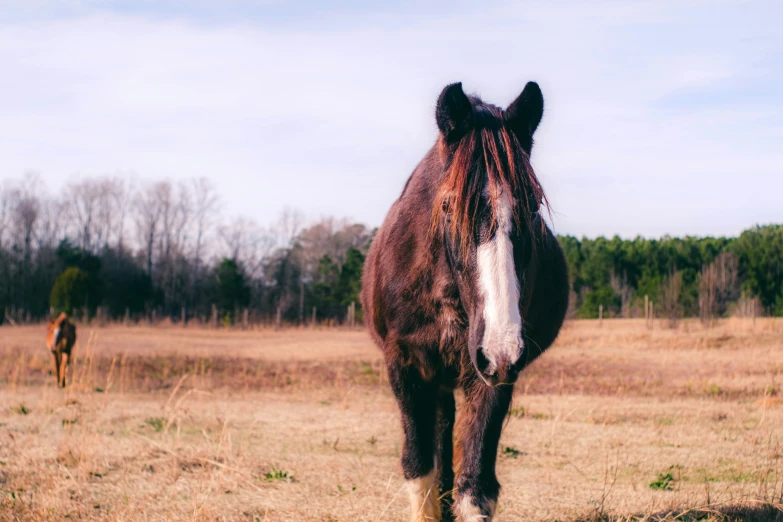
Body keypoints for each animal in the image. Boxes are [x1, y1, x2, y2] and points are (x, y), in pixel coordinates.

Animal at [362, 81, 568, 520]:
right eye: (447, 205)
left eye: (533, 208)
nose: (500, 347)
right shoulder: (405, 363)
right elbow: (420, 471)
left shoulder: (493, 376)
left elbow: (476, 486)